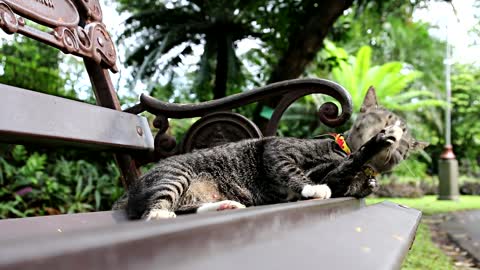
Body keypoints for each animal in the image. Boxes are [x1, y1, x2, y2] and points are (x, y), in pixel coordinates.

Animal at [124, 87, 428, 220]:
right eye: (388, 117)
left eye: (406, 147)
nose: (401, 136)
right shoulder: (276, 149)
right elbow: (292, 170)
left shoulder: (338, 180)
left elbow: (345, 172)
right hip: (176, 174)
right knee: (153, 211)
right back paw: (162, 215)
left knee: (183, 207)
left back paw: (224, 206)